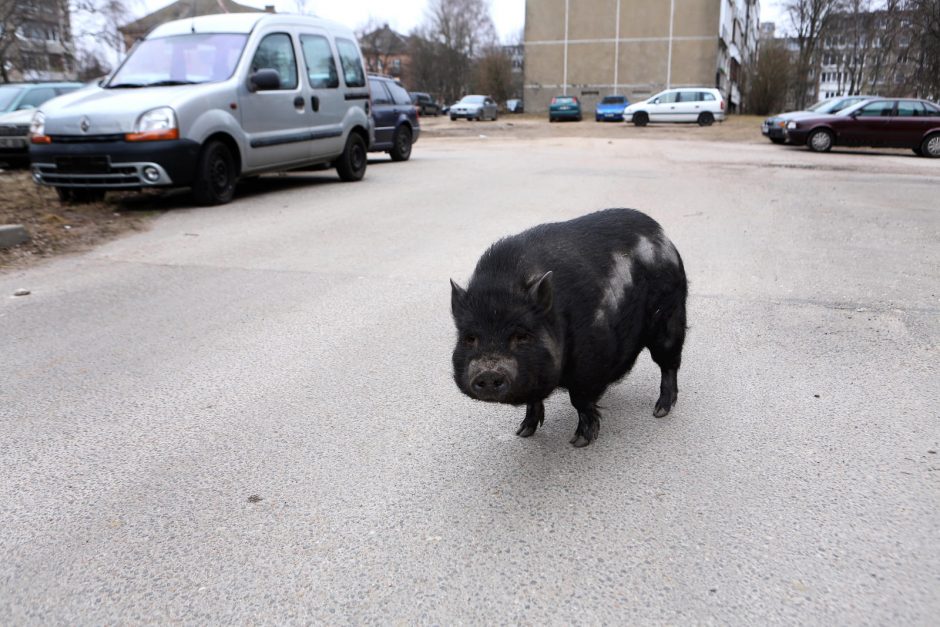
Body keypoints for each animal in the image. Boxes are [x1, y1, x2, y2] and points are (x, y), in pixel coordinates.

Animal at [452, 210, 688, 446]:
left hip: (669, 317)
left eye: (521, 336)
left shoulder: (590, 361)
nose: (488, 372)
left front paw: (579, 441)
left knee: (669, 364)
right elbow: (534, 399)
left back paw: (660, 411)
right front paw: (522, 432)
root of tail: (662, 236)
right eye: (469, 338)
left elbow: (580, 399)